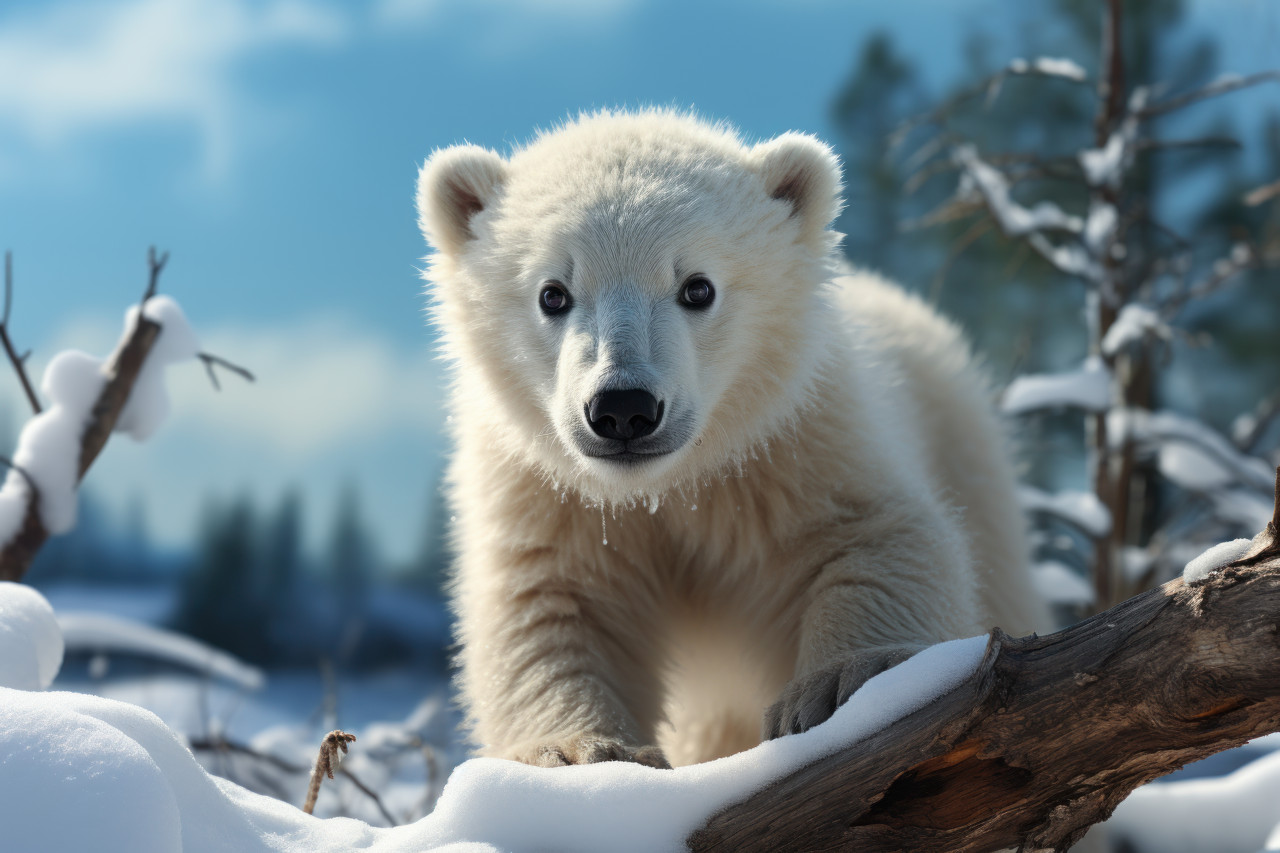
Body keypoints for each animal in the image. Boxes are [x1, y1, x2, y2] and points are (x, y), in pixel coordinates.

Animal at [416, 109, 1049, 769]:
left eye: (698, 287)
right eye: (552, 293)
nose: (623, 409)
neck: (669, 486)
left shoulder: (799, 437)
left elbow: (876, 539)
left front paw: (839, 688)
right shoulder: (548, 493)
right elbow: (550, 606)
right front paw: (579, 753)